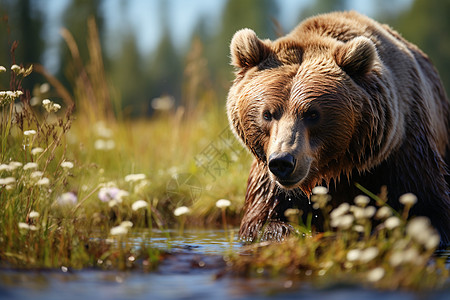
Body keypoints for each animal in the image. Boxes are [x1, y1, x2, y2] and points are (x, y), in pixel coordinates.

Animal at [229, 12, 450, 246]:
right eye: (268, 114)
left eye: (312, 114)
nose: (283, 162)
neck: (337, 167)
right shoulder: (268, 171)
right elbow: (262, 220)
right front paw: (300, 233)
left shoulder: (402, 148)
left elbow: (427, 210)